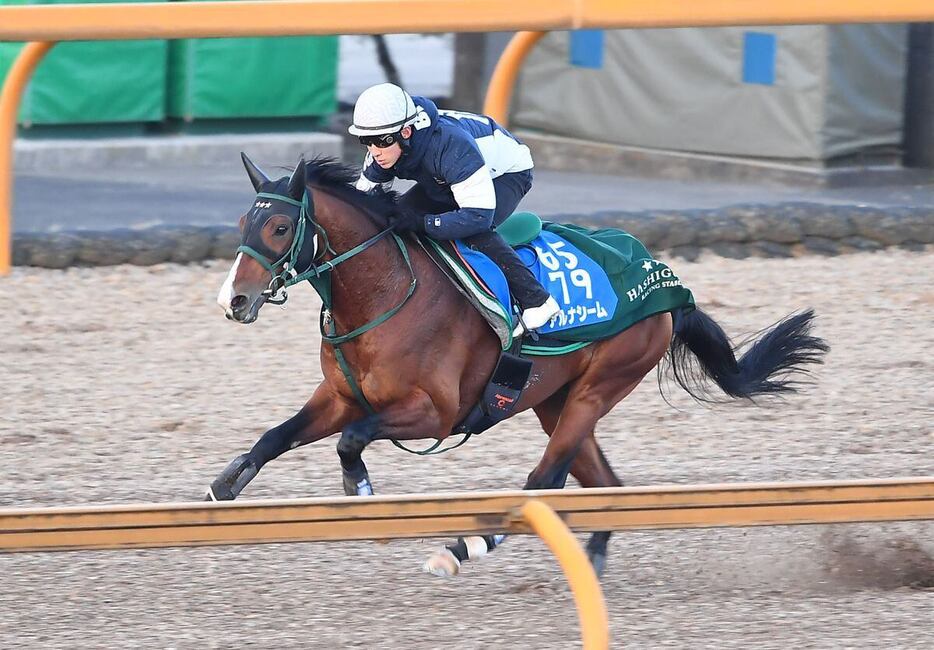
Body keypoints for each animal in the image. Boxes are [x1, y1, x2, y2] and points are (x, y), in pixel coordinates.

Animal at [208, 154, 828, 576]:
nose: (233, 300)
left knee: (544, 481)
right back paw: (592, 561)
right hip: (554, 400)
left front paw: (357, 488)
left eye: (280, 227)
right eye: (241, 222)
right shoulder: (339, 397)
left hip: (599, 386)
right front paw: (221, 490)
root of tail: (669, 282)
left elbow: (350, 441)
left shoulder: (435, 413)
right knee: (600, 483)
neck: (385, 292)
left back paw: (465, 547)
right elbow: (275, 436)